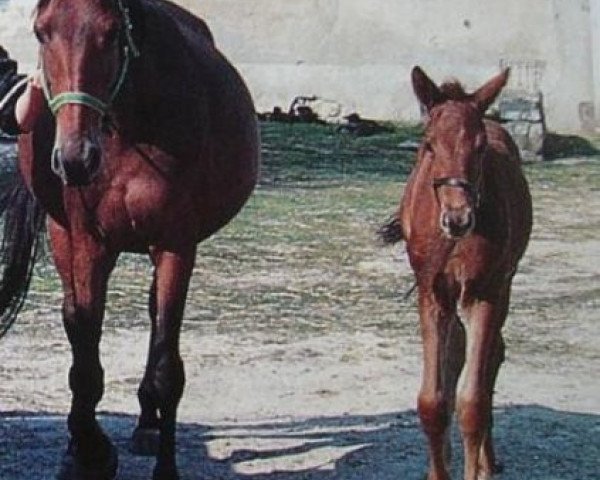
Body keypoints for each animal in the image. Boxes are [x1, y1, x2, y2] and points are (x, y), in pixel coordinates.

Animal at [1, 0, 260, 480]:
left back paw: (146, 424)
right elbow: (85, 356)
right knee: (75, 321)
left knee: (156, 322)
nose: (75, 159)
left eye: (111, 33)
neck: (128, 132)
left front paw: (164, 466)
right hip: (62, 236)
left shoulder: (176, 245)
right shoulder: (89, 243)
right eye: (42, 32)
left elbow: (166, 366)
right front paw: (86, 453)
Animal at [382, 68, 532, 480]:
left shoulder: (486, 292)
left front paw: (474, 466)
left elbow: (473, 403)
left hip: (504, 284)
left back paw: (487, 461)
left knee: (493, 355)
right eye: (429, 145)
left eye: (480, 147)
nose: (458, 219)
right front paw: (438, 470)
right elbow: (433, 401)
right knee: (457, 357)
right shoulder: (432, 293)